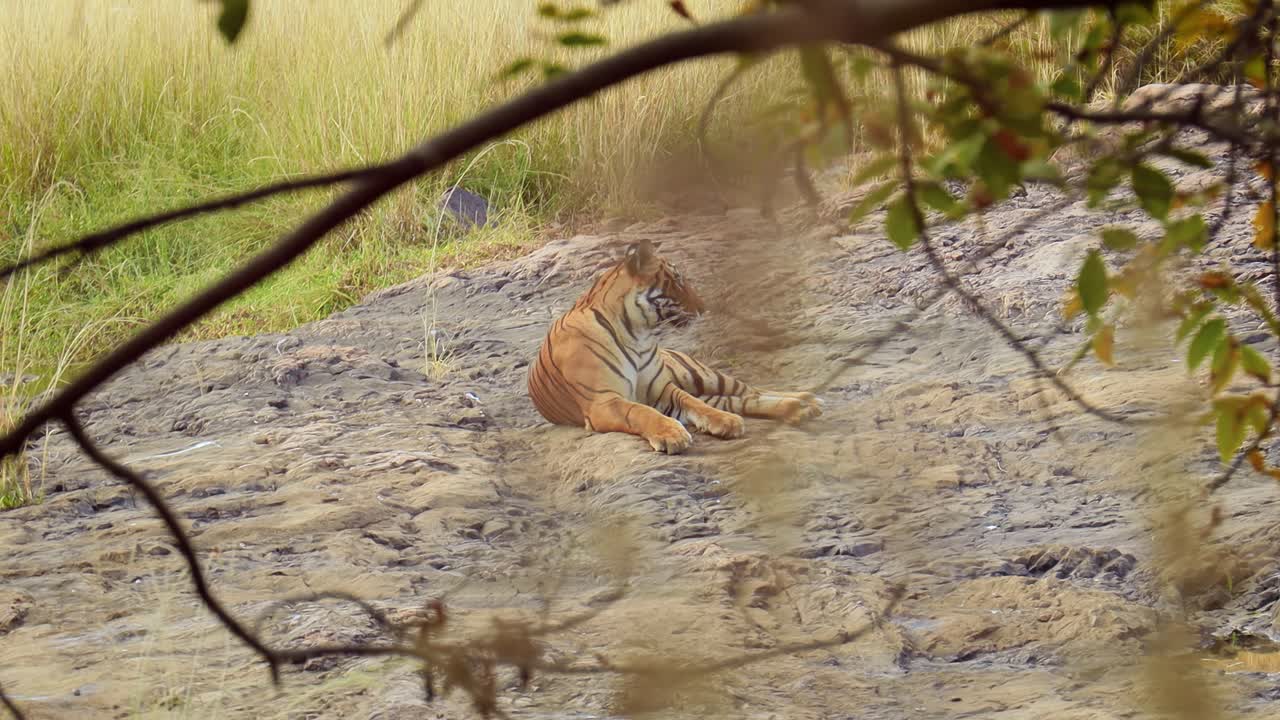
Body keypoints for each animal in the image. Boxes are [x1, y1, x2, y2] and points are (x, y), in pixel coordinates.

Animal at [527, 239, 823, 454]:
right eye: (678, 280)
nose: (705, 307)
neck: (636, 332)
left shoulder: (662, 388)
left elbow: (693, 402)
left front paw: (724, 421)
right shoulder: (603, 401)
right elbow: (641, 412)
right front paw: (673, 434)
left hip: (701, 374)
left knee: (750, 390)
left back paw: (807, 400)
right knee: (742, 399)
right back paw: (801, 408)